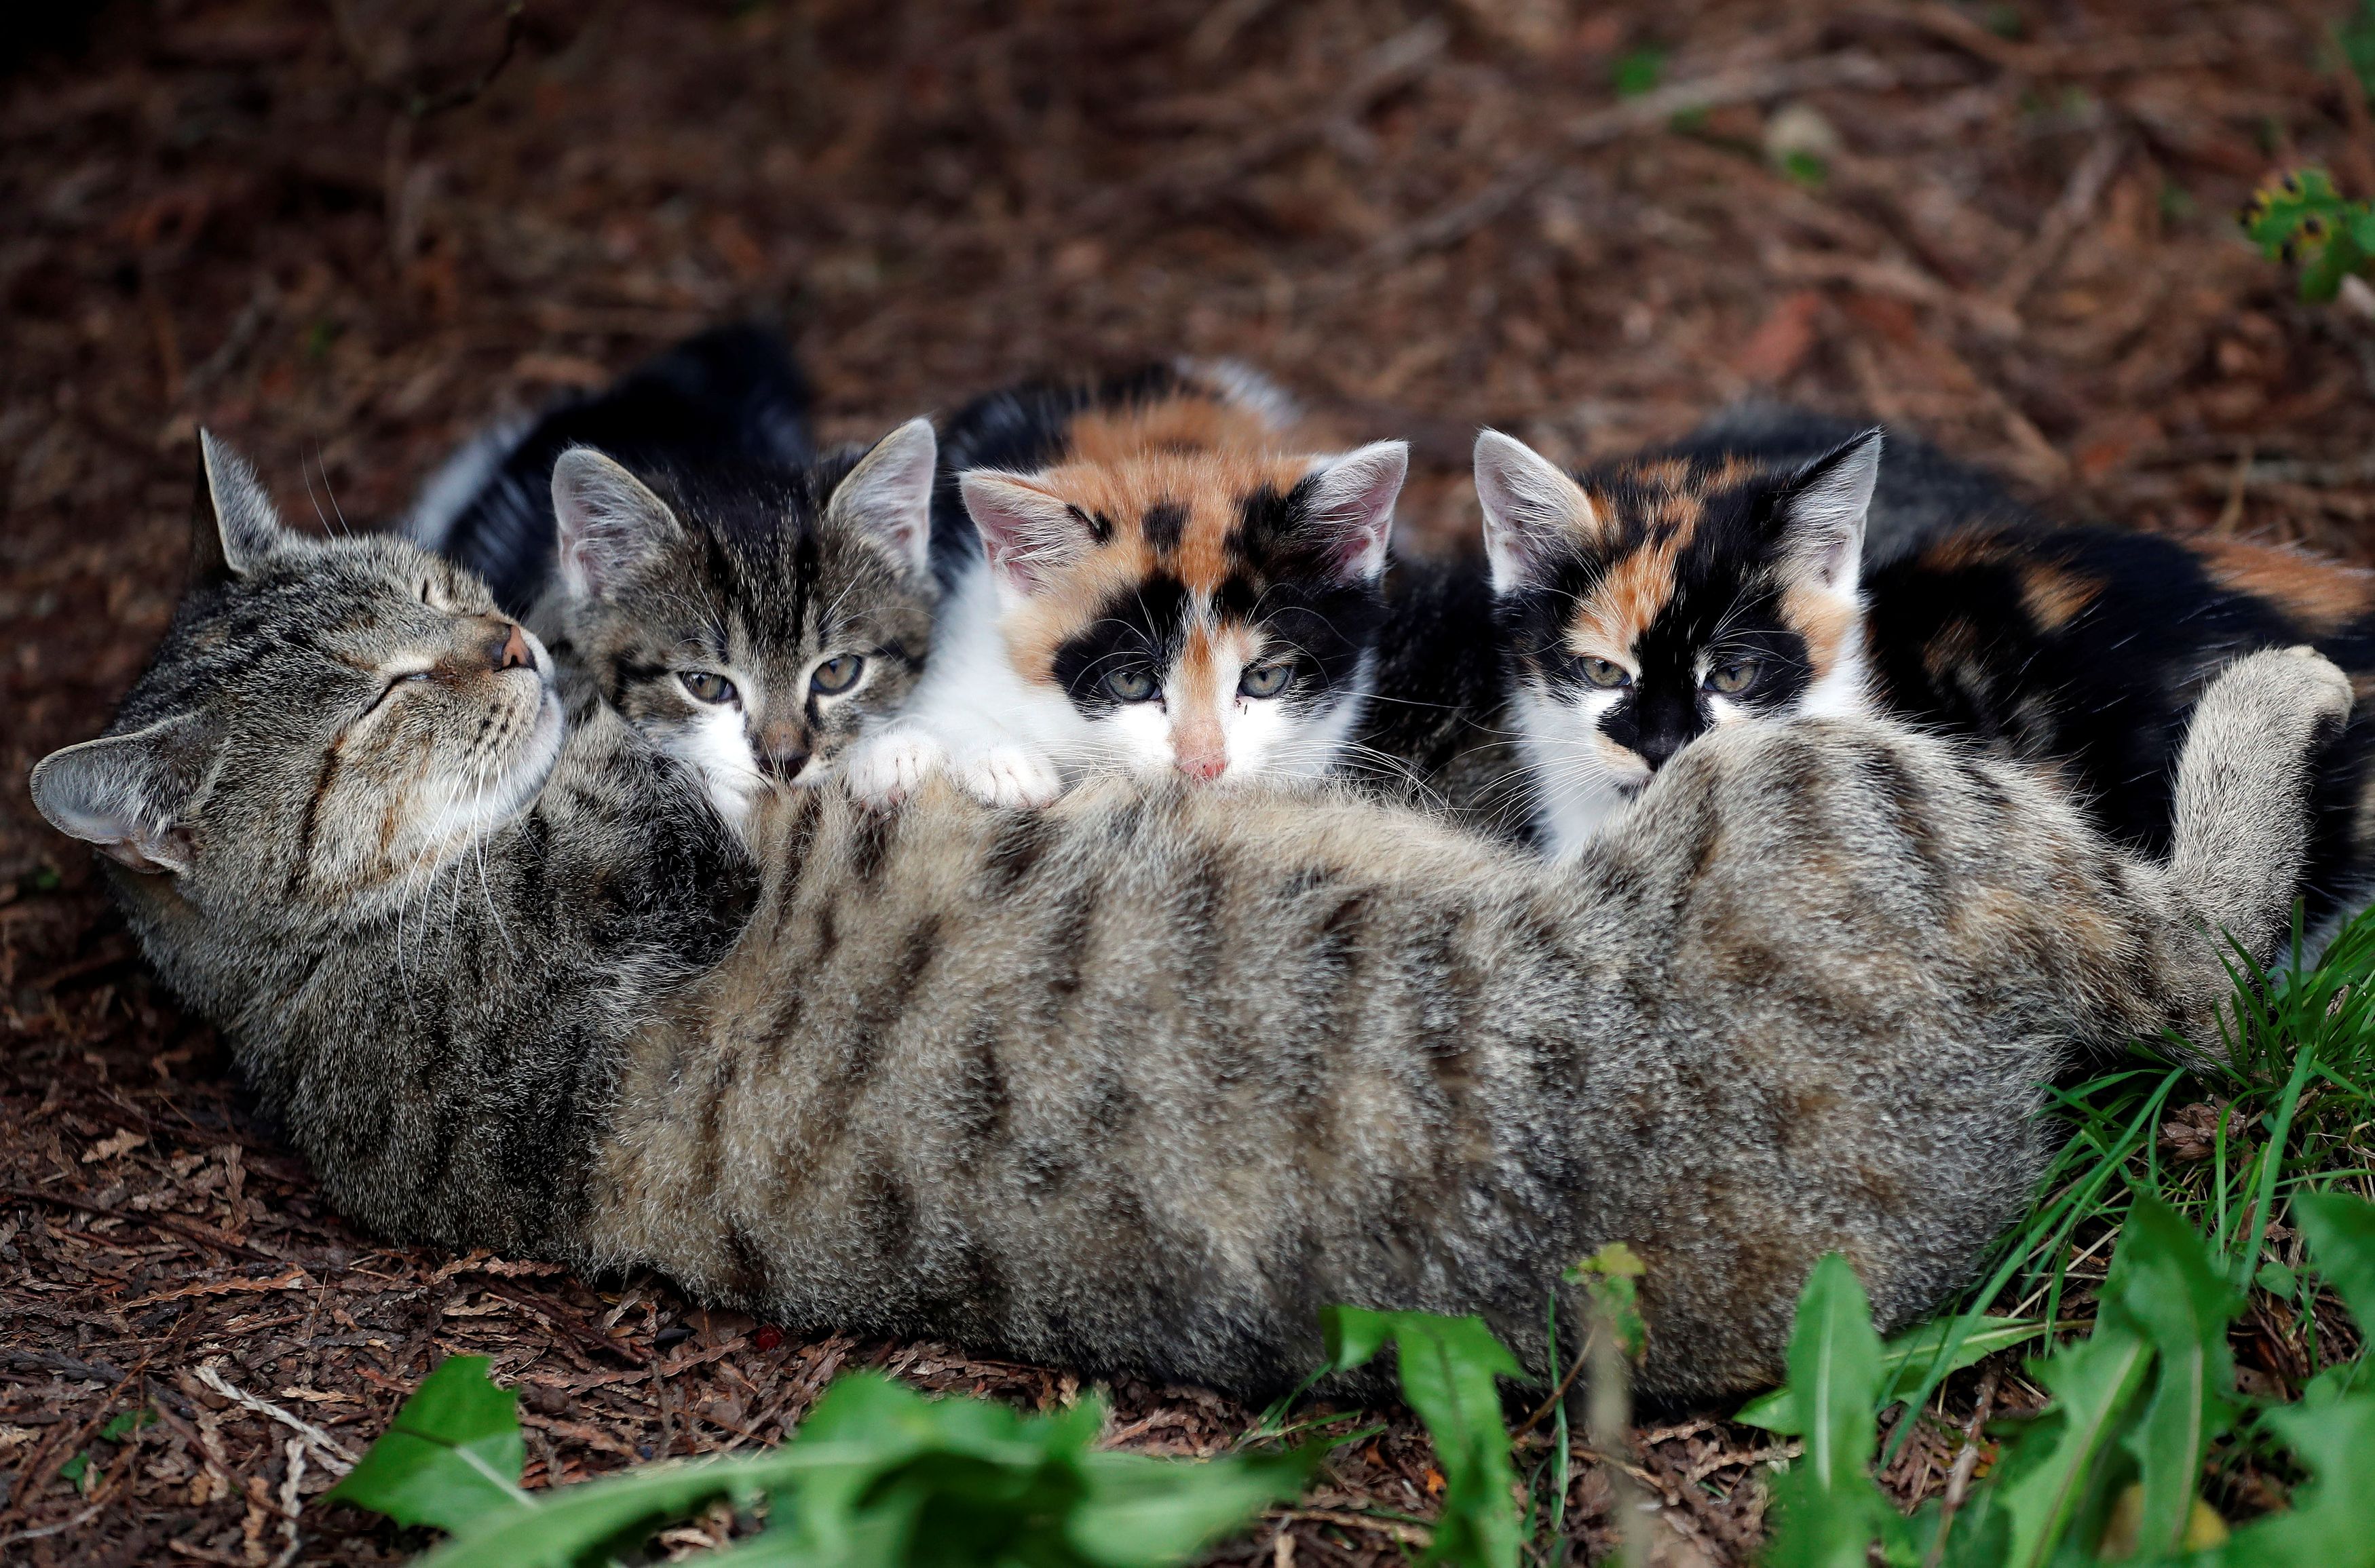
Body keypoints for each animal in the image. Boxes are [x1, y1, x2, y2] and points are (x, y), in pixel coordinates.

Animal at [28, 434, 2346, 1406]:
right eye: (384, 688)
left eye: (433, 593)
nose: (509, 631)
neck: (316, 970)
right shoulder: (636, 866)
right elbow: (731, 774)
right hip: (1842, 804)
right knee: (2211, 962)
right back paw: (2276, 697)